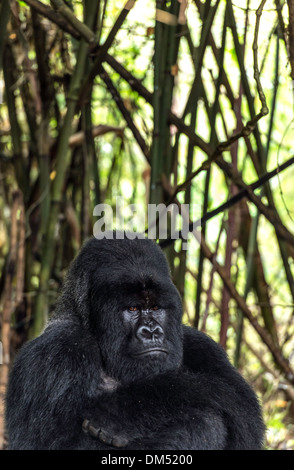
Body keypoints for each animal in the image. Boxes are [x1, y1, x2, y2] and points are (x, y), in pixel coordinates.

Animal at [4, 233, 264, 450]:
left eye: (155, 307)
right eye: (133, 308)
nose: (151, 332)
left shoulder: (200, 344)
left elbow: (242, 406)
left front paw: (119, 414)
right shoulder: (57, 351)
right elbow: (55, 443)